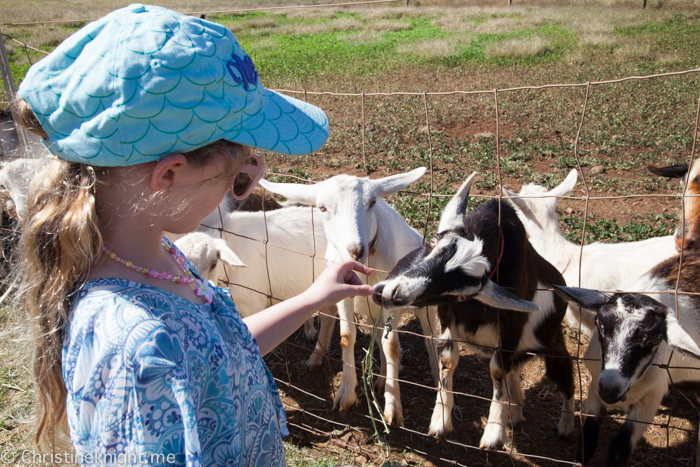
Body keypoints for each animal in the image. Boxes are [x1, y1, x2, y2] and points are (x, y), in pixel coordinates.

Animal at [258, 169, 438, 428]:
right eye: (322, 208)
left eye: (372, 203)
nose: (355, 250)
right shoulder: (343, 292)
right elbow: (347, 336)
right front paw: (346, 394)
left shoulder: (392, 298)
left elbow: (392, 346)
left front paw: (393, 407)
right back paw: (381, 379)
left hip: (422, 306)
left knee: (431, 340)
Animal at [374, 174, 572, 452]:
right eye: (433, 241)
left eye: (460, 291)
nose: (393, 293)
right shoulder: (447, 315)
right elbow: (449, 359)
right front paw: (440, 420)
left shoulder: (510, 325)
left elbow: (498, 370)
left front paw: (493, 433)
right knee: (514, 372)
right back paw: (516, 413)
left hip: (554, 345)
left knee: (565, 380)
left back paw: (565, 428)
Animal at [556, 254, 700, 466]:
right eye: (600, 325)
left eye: (655, 340)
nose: (610, 388)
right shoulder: (595, 384)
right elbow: (588, 439)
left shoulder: (651, 398)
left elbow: (619, 449)